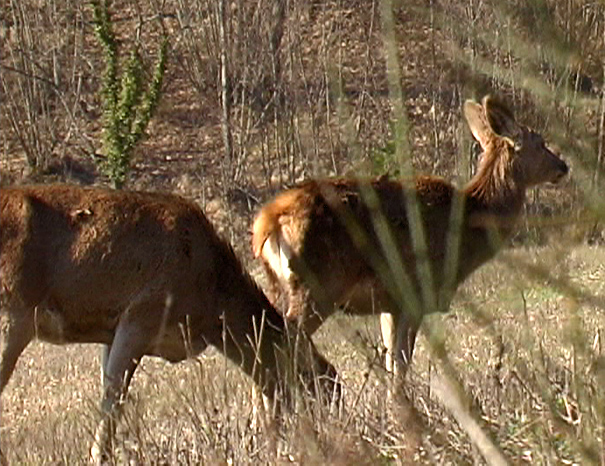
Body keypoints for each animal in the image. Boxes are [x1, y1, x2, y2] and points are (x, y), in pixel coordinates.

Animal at [1, 182, 340, 462]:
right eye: (314, 379)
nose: (330, 432)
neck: (211, 302)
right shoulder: (140, 317)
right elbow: (114, 400)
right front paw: (99, 455)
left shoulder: (111, 332)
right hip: (13, 319)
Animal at [250, 95, 568, 394]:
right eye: (540, 143)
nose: (563, 167)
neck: (467, 226)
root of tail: (268, 220)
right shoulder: (415, 293)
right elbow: (402, 364)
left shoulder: (391, 304)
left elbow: (392, 361)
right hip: (317, 284)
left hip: (278, 285)